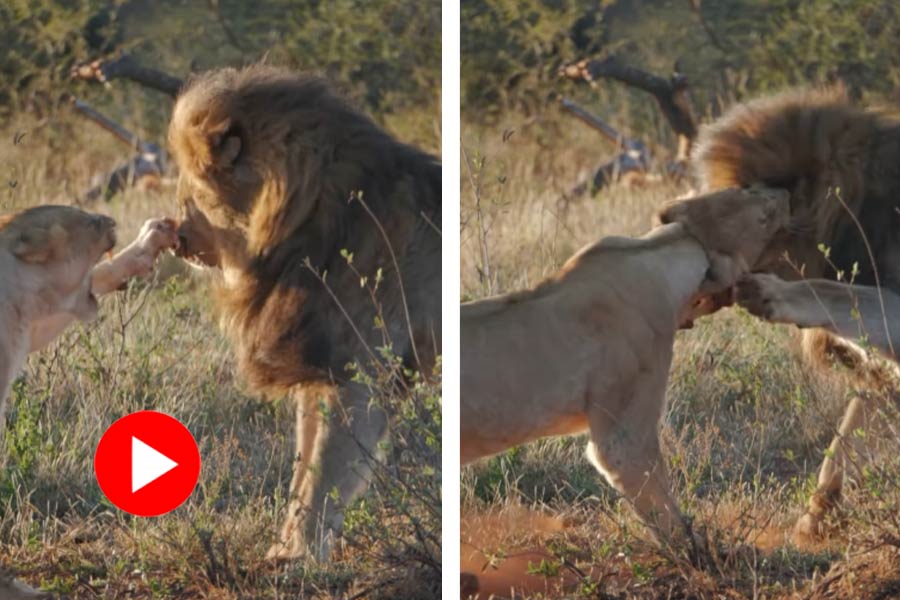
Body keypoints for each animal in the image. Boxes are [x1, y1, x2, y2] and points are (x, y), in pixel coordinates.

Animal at [167, 65, 441, 561]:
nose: (175, 236)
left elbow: (327, 474)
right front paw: (283, 551)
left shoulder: (360, 374)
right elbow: (303, 469)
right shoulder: (320, 373)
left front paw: (300, 558)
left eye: (193, 189)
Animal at [461, 186, 790, 552]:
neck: (662, 252)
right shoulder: (623, 433)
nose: (782, 194)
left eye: (741, 190)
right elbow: (665, 512)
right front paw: (698, 554)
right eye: (762, 219)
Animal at [656, 86, 900, 540]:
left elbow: (844, 294)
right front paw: (815, 521)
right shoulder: (882, 375)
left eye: (744, 194)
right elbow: (843, 443)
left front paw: (771, 293)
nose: (663, 213)